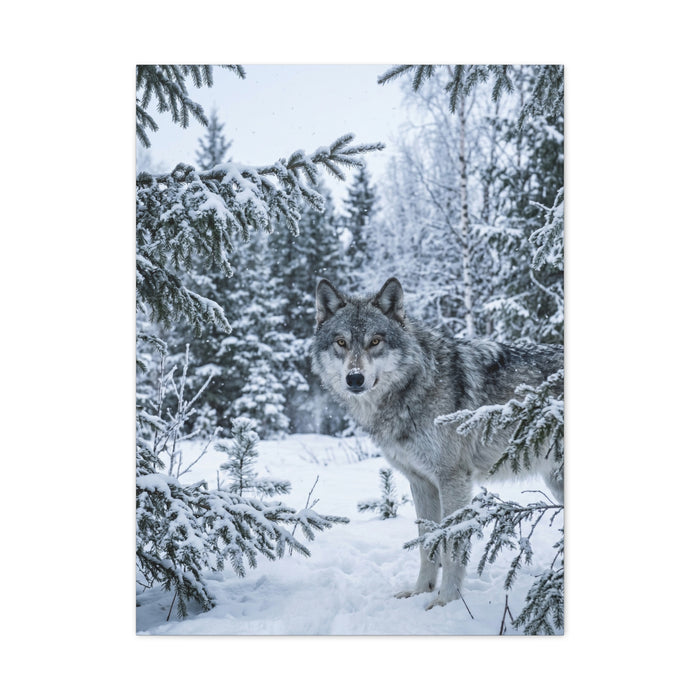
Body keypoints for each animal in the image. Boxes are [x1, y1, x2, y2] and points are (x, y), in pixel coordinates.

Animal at [311, 277, 563, 609]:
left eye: (375, 341)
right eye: (341, 342)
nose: (354, 378)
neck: (416, 386)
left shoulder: (452, 479)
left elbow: (452, 543)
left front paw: (446, 602)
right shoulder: (421, 482)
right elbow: (426, 543)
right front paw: (420, 592)